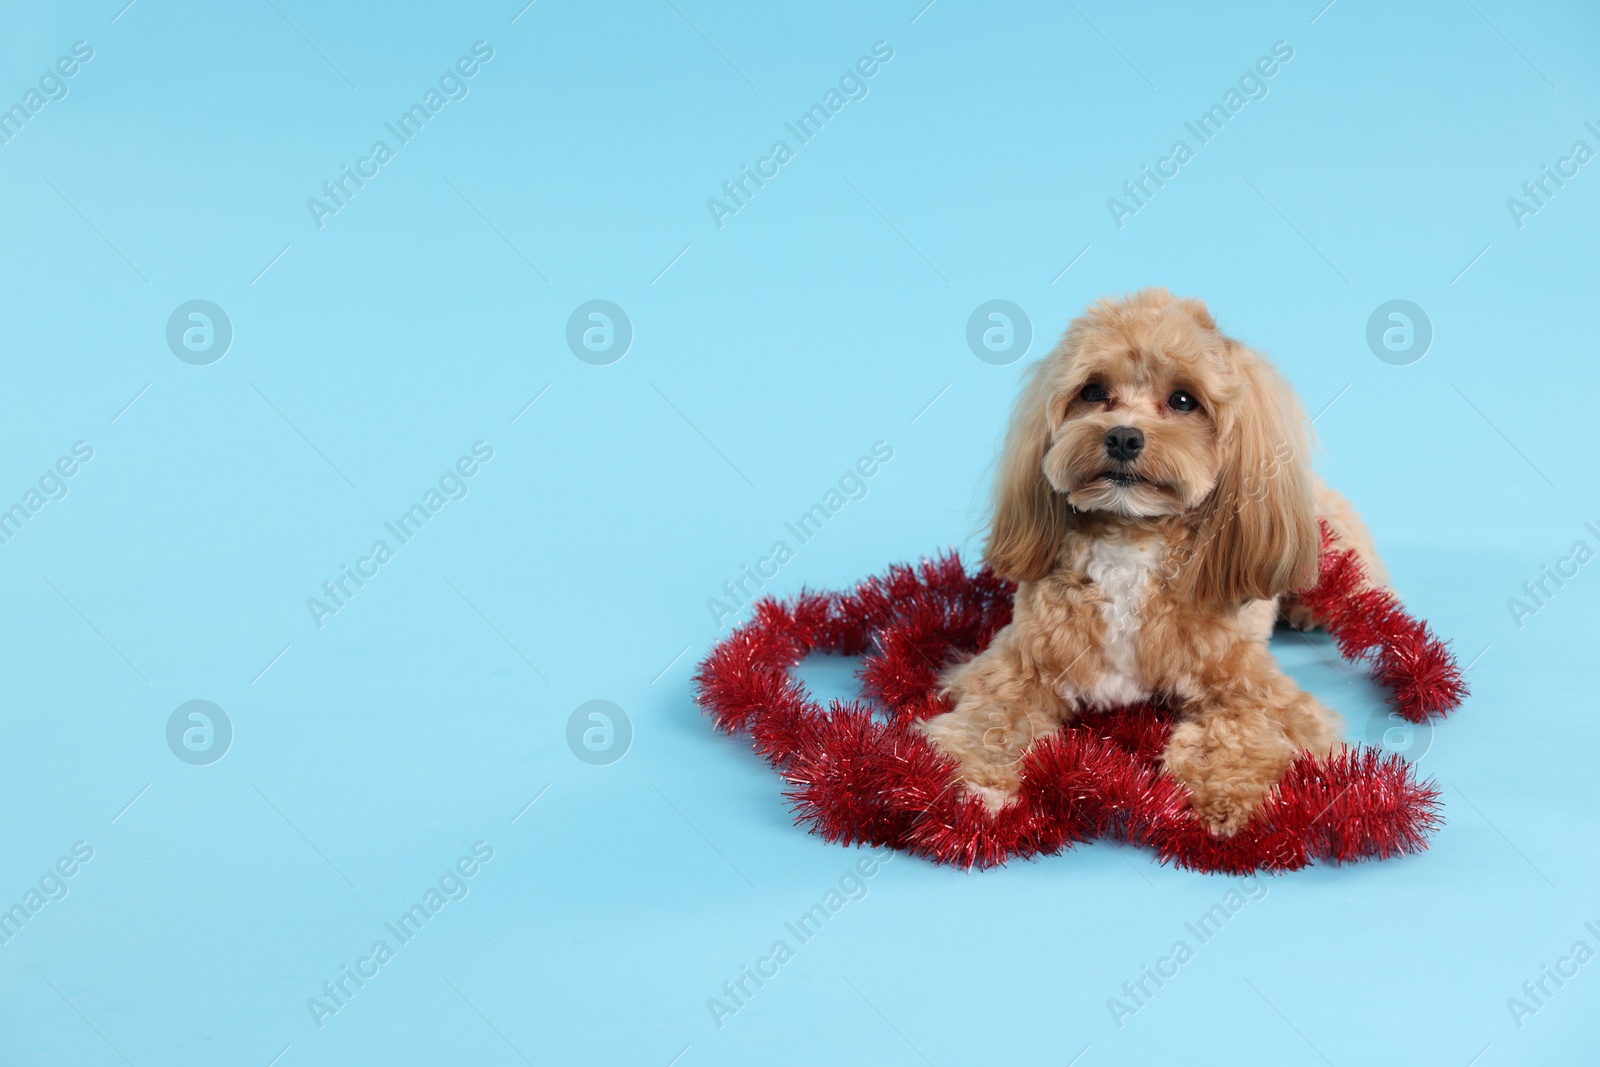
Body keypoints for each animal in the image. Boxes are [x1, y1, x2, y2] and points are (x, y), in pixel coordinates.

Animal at [928, 289, 1388, 831]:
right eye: (1092, 392)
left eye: (1183, 400)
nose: (1123, 437)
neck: (1131, 539)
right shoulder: (1015, 667)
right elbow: (992, 719)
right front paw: (975, 783)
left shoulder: (1254, 689)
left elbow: (1238, 731)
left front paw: (1225, 796)